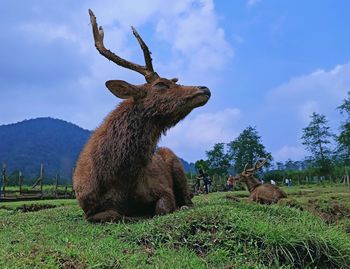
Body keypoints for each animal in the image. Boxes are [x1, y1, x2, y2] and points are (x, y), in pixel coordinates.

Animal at [73, 9, 211, 221]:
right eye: (161, 84)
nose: (204, 88)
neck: (121, 180)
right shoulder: (88, 209)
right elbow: (113, 214)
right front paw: (134, 215)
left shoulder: (163, 189)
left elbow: (162, 208)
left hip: (177, 165)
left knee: (189, 199)